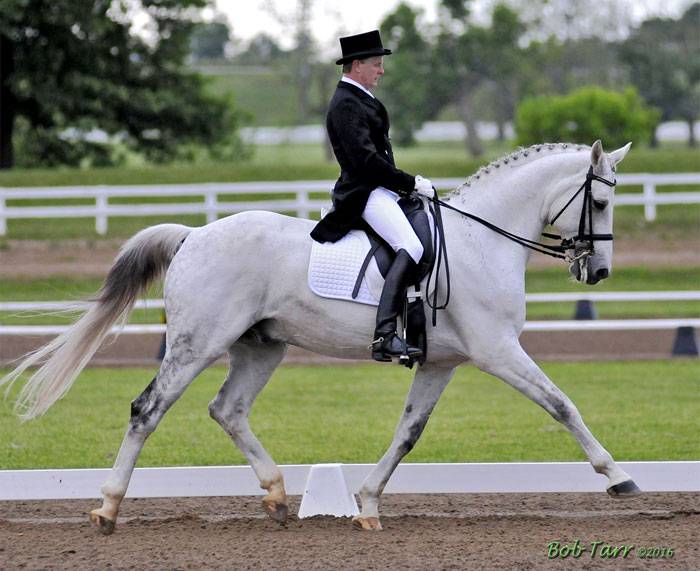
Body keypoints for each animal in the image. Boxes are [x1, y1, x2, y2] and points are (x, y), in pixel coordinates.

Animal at [1, 141, 636, 536]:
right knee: (147, 409)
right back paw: (108, 509)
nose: (600, 273)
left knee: (227, 410)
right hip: (196, 344)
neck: (482, 241)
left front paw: (368, 505)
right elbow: (561, 405)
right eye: (601, 201)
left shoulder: (441, 363)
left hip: (261, 346)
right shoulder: (498, 350)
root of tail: (193, 235)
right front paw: (618, 477)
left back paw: (278, 496)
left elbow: (407, 433)